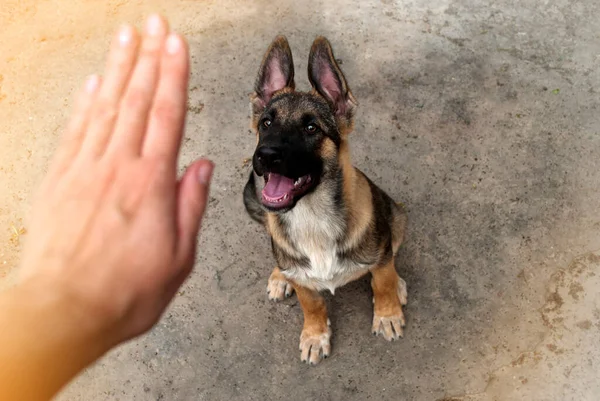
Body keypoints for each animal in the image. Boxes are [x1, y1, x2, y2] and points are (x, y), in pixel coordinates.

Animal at [244, 36, 408, 364]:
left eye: (311, 128)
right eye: (266, 123)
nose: (265, 156)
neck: (312, 216)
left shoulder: (381, 254)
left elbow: (382, 283)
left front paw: (387, 313)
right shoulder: (305, 284)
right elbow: (312, 305)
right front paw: (315, 335)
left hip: (397, 218)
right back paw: (279, 276)